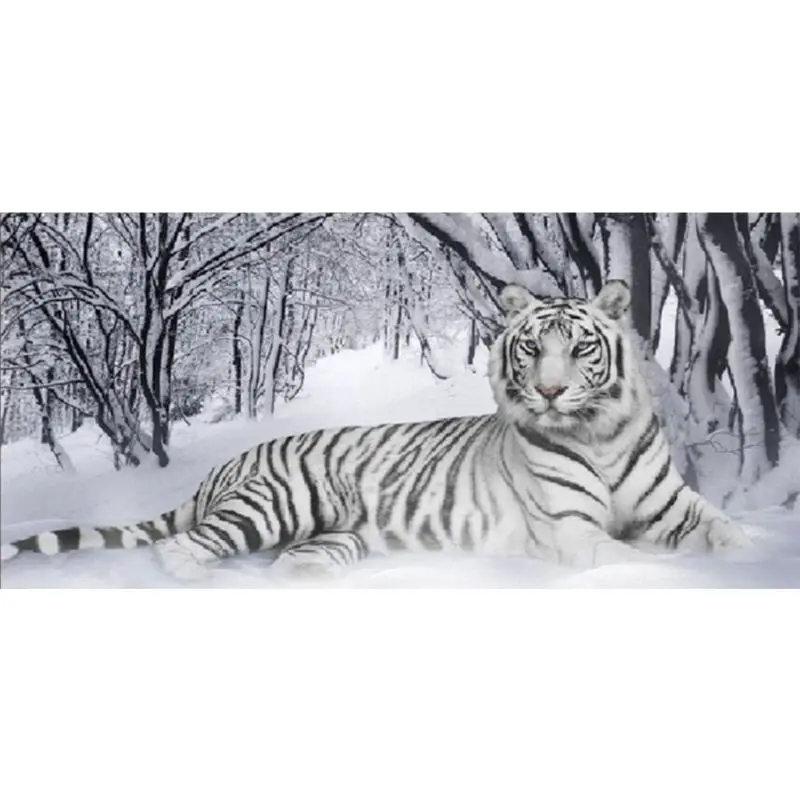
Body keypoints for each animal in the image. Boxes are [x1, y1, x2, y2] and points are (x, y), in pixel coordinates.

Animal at [0, 280, 751, 581]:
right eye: (532, 348)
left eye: (581, 347)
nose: (549, 391)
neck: (599, 432)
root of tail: (226, 464)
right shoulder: (572, 530)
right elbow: (634, 558)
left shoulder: (675, 506)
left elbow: (728, 532)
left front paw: (751, 557)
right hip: (274, 504)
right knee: (180, 547)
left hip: (334, 536)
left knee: (288, 561)